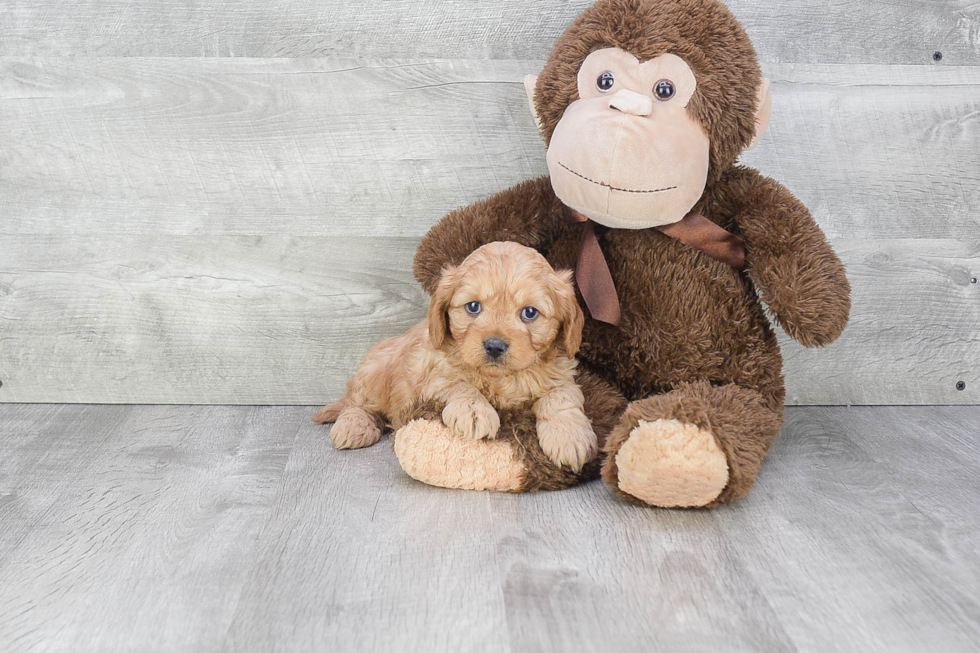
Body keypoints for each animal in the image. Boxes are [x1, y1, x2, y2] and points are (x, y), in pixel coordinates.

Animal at [312, 239, 596, 468]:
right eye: (473, 307)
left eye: (529, 313)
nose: (494, 346)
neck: (501, 379)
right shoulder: (432, 374)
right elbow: (458, 384)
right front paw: (474, 411)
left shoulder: (562, 375)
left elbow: (561, 398)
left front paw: (570, 437)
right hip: (374, 372)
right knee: (356, 403)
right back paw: (353, 427)